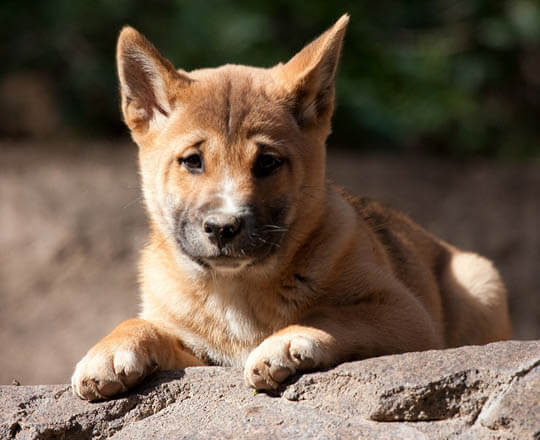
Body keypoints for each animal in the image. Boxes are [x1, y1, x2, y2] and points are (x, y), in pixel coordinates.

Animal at [70, 13, 510, 400]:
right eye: (192, 161)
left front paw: (287, 342)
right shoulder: (199, 355)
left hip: (480, 279)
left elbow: (331, 315)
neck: (236, 291)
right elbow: (143, 325)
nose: (222, 227)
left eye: (267, 162)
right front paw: (110, 351)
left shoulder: (406, 316)